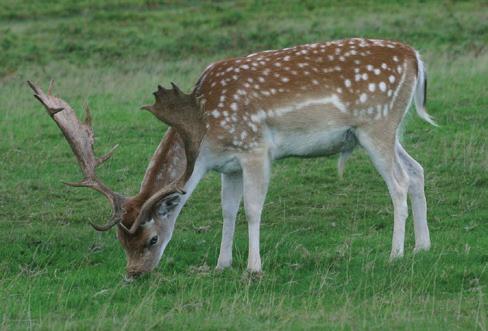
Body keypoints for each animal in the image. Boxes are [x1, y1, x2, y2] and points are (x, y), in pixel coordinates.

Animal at [29, 38, 434, 280]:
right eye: (120, 240)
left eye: (152, 239)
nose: (134, 274)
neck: (205, 132)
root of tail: (415, 57)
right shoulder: (228, 165)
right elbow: (228, 210)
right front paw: (221, 263)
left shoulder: (254, 148)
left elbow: (253, 208)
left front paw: (254, 268)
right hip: (387, 130)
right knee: (417, 171)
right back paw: (422, 247)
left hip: (376, 125)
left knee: (399, 182)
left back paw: (395, 254)